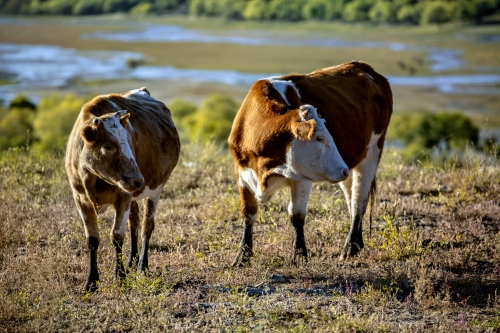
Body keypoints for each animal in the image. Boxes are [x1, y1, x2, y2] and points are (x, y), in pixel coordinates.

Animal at [65, 86, 180, 290]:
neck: (93, 179)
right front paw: (92, 281)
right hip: (132, 196)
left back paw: (142, 266)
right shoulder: (80, 199)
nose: (138, 181)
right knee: (134, 222)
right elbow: (92, 239)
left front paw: (120, 276)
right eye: (109, 146)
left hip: (155, 190)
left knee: (146, 226)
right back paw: (132, 260)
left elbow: (117, 236)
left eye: (129, 142)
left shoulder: (123, 197)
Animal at [228, 60, 394, 264]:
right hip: (346, 166)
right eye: (319, 138)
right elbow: (248, 215)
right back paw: (357, 243)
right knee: (351, 199)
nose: (343, 170)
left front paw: (299, 254)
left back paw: (350, 248)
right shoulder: (242, 174)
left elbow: (296, 216)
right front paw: (242, 256)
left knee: (358, 201)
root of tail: (364, 67)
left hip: (371, 154)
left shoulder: (301, 178)